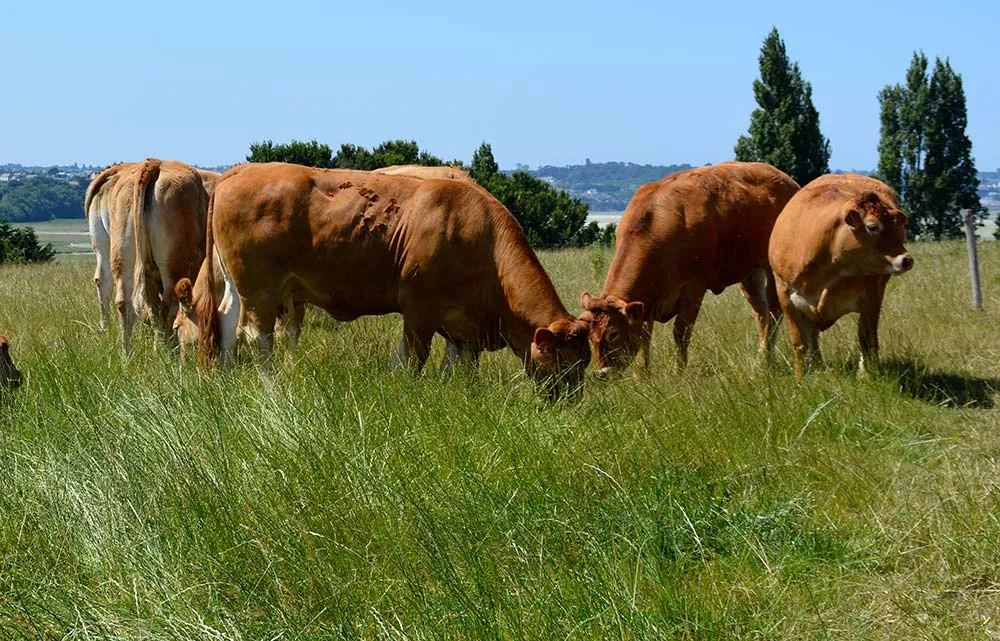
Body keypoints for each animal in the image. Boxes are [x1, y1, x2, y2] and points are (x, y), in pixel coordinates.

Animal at [85, 159, 213, 352]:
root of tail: (156, 163)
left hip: (118, 252)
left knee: (117, 295)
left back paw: (126, 351)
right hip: (171, 263)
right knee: (167, 305)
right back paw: (166, 350)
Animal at [189, 162, 591, 399]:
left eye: (584, 362)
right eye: (564, 364)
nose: (571, 402)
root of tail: (239, 171)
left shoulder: (463, 323)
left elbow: (459, 363)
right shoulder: (419, 308)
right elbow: (412, 358)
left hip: (238, 286)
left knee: (226, 326)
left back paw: (224, 380)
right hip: (260, 288)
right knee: (257, 337)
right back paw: (272, 388)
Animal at [580, 161, 800, 376]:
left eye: (613, 333)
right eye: (590, 334)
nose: (601, 373)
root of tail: (786, 181)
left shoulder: (694, 289)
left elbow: (681, 332)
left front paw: (679, 371)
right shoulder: (646, 303)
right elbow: (644, 336)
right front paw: (643, 373)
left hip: (771, 269)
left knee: (773, 310)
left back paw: (765, 359)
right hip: (750, 274)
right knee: (761, 314)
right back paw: (762, 359)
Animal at [768, 173, 913, 377]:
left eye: (894, 227)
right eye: (872, 227)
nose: (906, 259)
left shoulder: (872, 297)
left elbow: (867, 338)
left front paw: (867, 375)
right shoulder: (785, 296)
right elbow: (800, 341)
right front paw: (800, 375)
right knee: (812, 336)